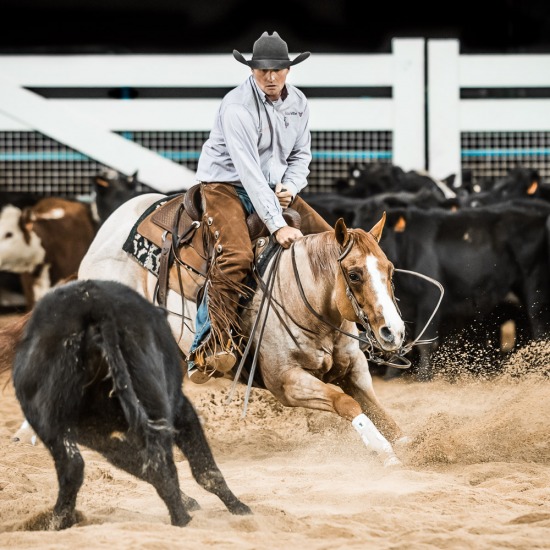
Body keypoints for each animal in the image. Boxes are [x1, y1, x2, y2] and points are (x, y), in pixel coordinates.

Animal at [3, 280, 249, 532]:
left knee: (75, 466)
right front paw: (237, 508)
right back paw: (181, 518)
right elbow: (203, 469)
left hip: (55, 421)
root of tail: (94, 309)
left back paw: (58, 521)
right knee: (159, 463)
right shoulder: (179, 408)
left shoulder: (100, 435)